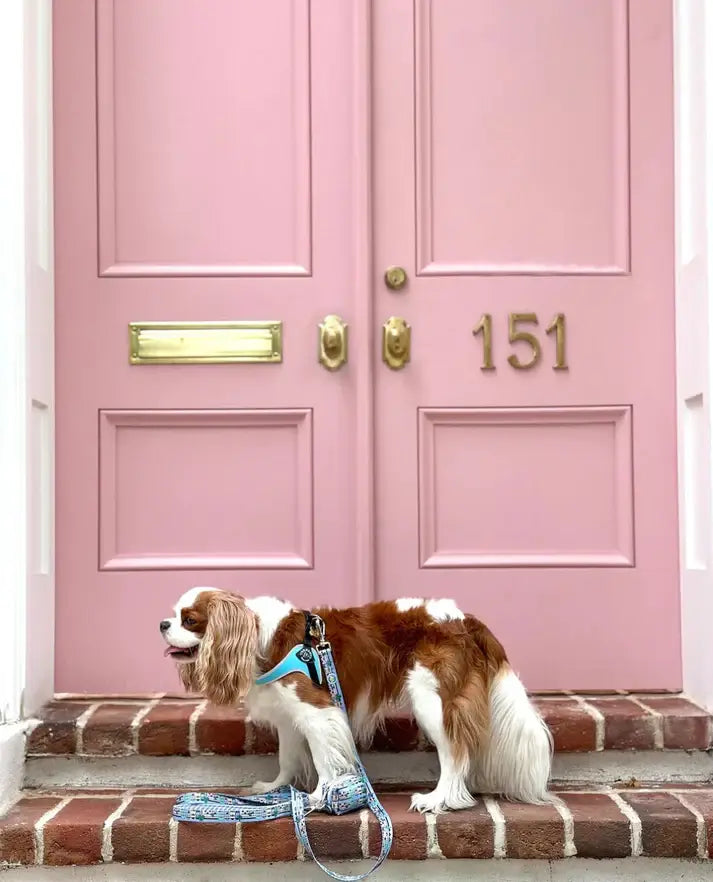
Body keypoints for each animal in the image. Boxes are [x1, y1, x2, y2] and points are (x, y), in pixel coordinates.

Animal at [161, 584, 552, 812]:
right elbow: (287, 758)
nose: (162, 623)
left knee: (455, 752)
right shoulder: (289, 716)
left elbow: (324, 760)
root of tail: (467, 620)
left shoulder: (318, 711)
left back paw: (439, 799)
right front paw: (277, 788)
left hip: (433, 699)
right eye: (174, 614)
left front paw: (319, 797)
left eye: (189, 619)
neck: (256, 635)